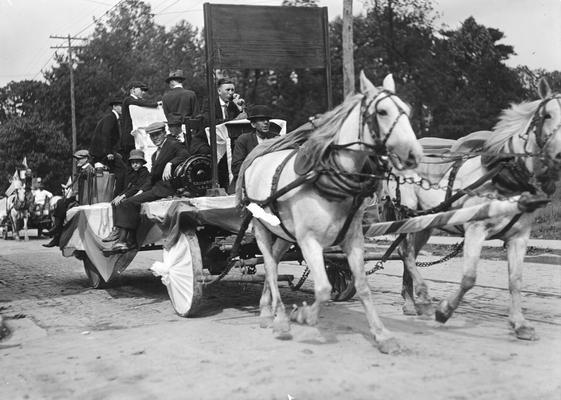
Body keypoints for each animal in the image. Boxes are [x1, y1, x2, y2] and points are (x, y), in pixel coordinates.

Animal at [235, 72, 420, 354]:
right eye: (382, 111)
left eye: (407, 110)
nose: (414, 154)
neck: (327, 178)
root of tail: (258, 156)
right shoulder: (309, 241)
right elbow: (322, 288)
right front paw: (303, 315)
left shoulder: (352, 238)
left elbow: (362, 286)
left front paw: (382, 335)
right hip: (260, 227)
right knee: (268, 264)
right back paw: (279, 319)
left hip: (284, 233)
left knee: (274, 263)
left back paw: (267, 311)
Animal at [390, 78, 560, 340]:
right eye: (547, 115)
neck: (505, 175)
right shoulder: (475, 229)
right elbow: (469, 278)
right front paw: (445, 310)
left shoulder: (520, 236)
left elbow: (516, 280)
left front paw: (520, 323)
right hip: (405, 213)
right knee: (405, 252)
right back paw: (424, 300)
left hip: (425, 223)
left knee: (410, 255)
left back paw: (411, 302)